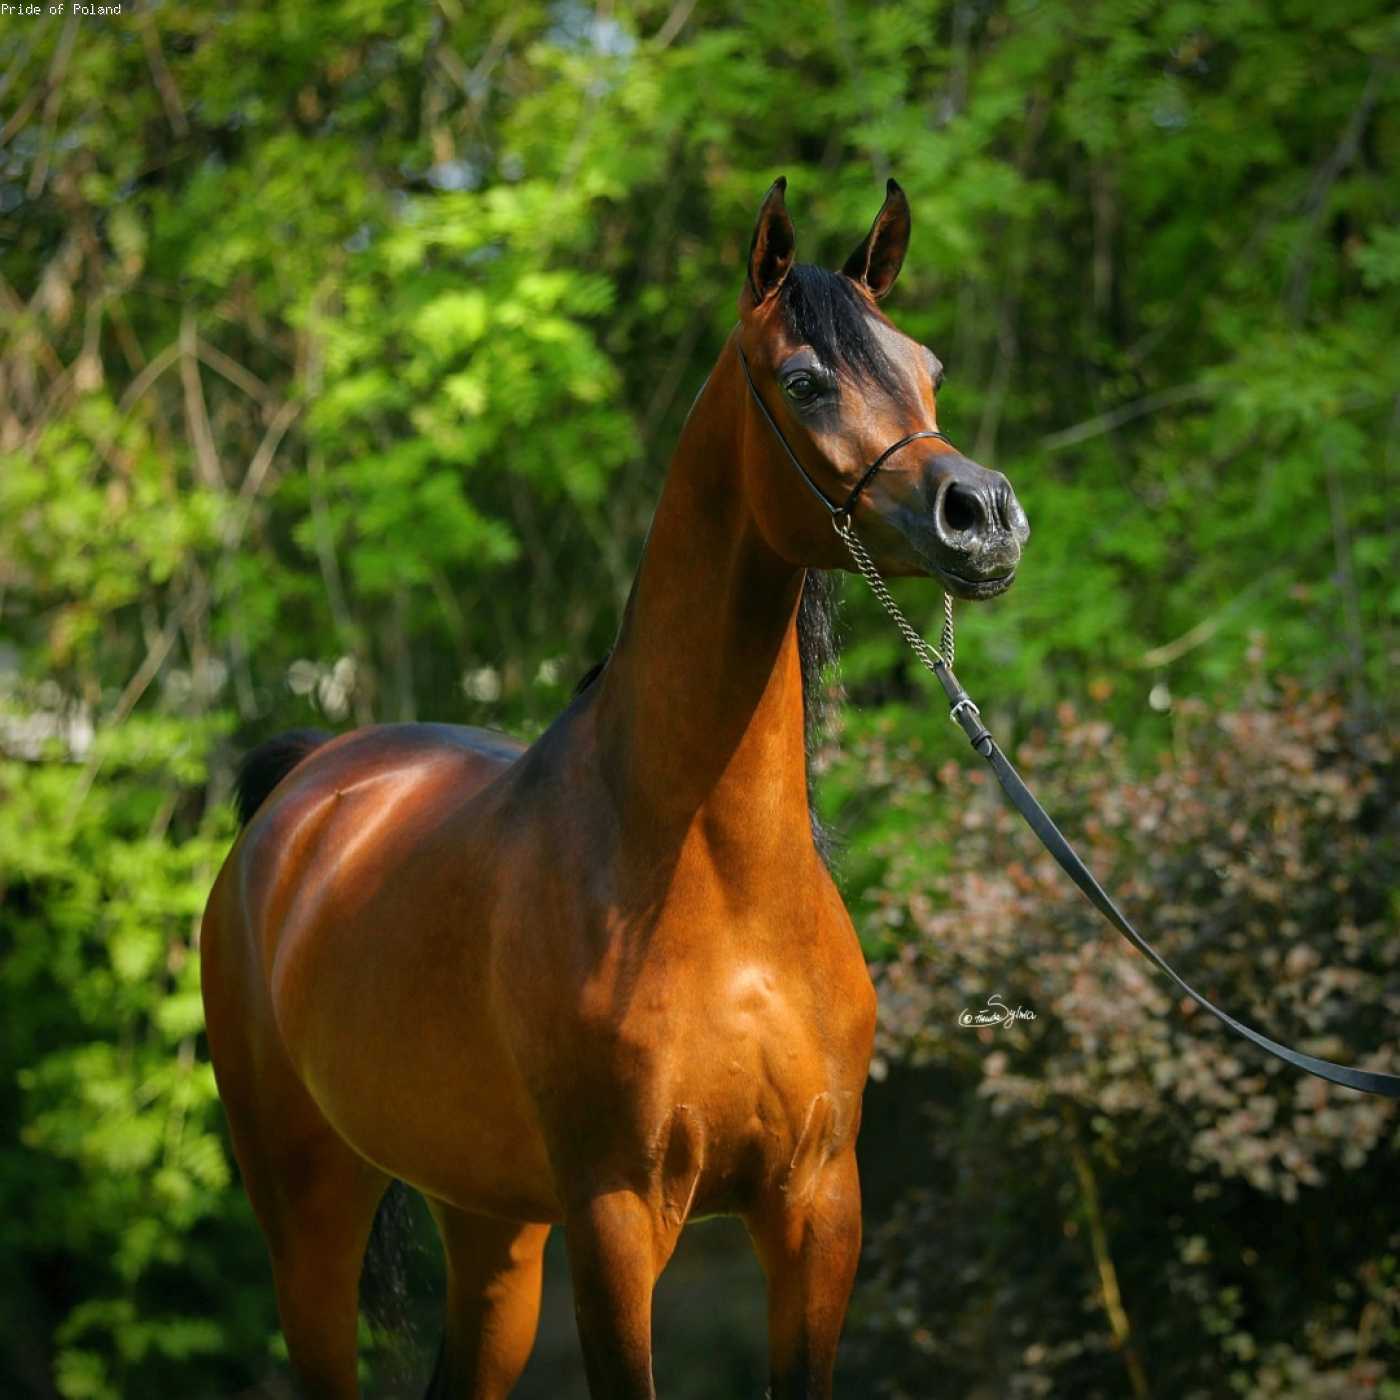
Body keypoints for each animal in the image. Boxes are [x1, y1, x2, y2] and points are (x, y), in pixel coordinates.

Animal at [200, 176, 1029, 1400]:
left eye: (926, 366)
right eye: (804, 379)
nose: (982, 515)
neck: (714, 878)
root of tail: (305, 783)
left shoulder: (818, 1206)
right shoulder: (617, 1220)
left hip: (491, 1227)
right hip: (308, 1211)